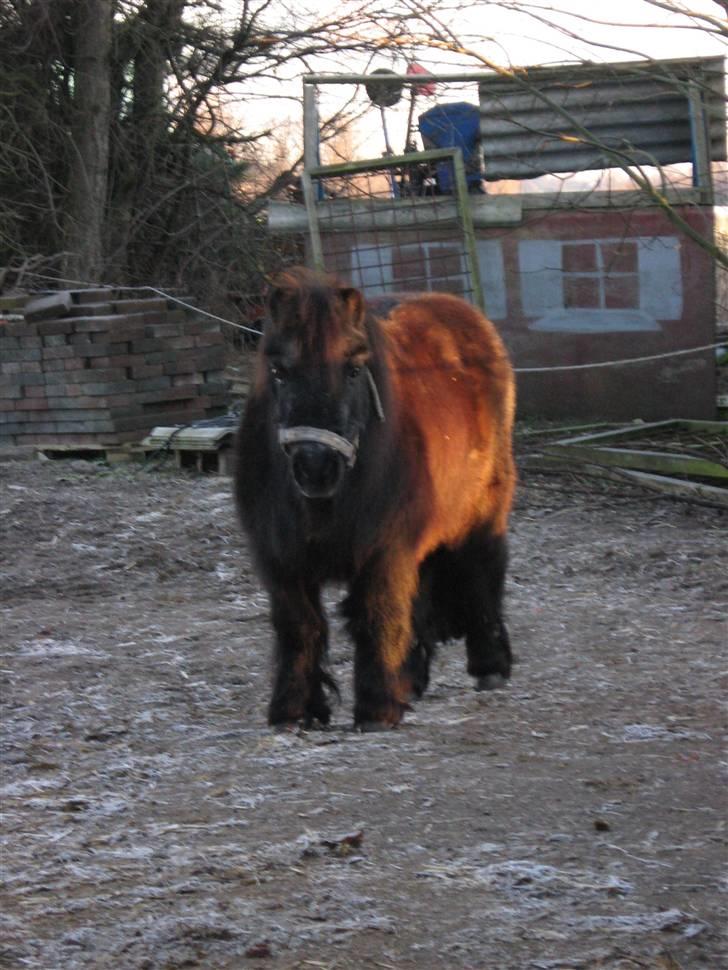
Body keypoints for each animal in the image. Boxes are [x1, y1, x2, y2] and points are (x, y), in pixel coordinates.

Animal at [236, 264, 516, 728]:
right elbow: (299, 626)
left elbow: (377, 614)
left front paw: (377, 707)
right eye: (278, 371)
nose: (315, 466)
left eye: (353, 369)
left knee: (482, 570)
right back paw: (413, 679)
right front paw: (293, 710)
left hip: (483, 511)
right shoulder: (281, 559)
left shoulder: (384, 548)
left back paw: (490, 665)